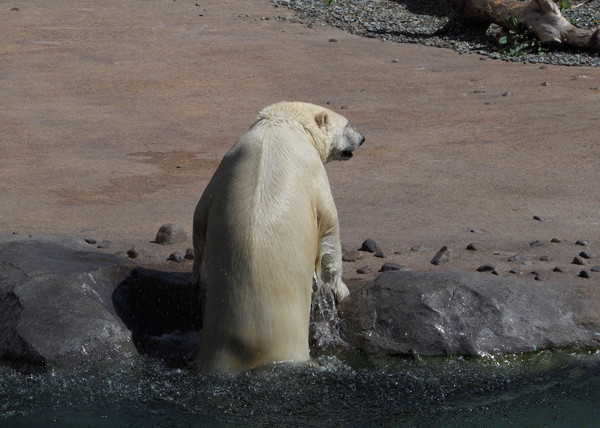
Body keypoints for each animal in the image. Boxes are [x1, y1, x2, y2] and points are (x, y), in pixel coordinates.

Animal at [192, 102, 364, 372]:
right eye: (347, 124)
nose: (362, 138)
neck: (281, 124)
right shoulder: (314, 172)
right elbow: (330, 228)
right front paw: (340, 289)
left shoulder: (226, 163)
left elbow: (199, 215)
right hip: (287, 341)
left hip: (217, 346)